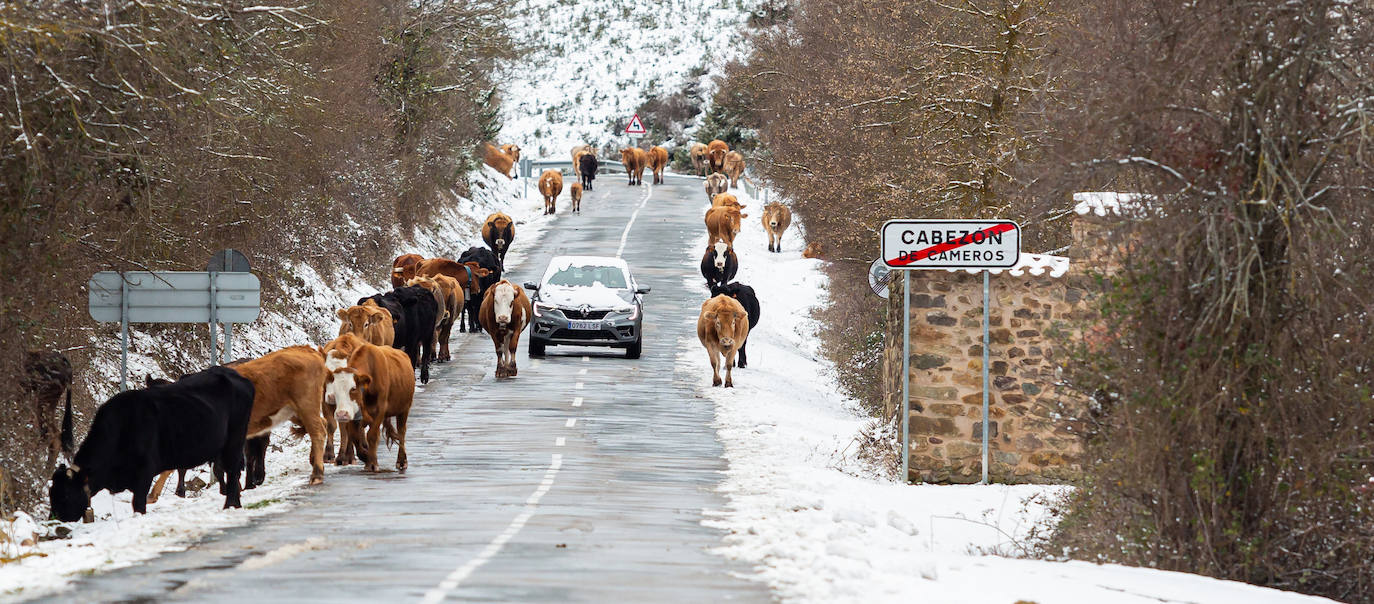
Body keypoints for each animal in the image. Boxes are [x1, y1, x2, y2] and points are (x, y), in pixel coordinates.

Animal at [49, 365, 256, 521]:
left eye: (66, 494)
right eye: (51, 492)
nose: (55, 519)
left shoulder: (144, 472)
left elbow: (138, 504)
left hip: (235, 439)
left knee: (232, 469)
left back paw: (230, 505)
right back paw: (236, 504)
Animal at [232, 347, 328, 483]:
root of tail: (306, 348)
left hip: (307, 405)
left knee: (318, 432)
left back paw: (317, 474)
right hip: (294, 412)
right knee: (322, 423)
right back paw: (314, 460)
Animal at [325, 340, 412, 472]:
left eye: (353, 388)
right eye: (334, 388)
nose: (341, 414)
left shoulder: (380, 410)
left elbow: (372, 435)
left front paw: (372, 463)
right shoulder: (355, 414)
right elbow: (355, 436)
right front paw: (366, 457)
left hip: (404, 409)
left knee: (401, 432)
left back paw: (402, 461)